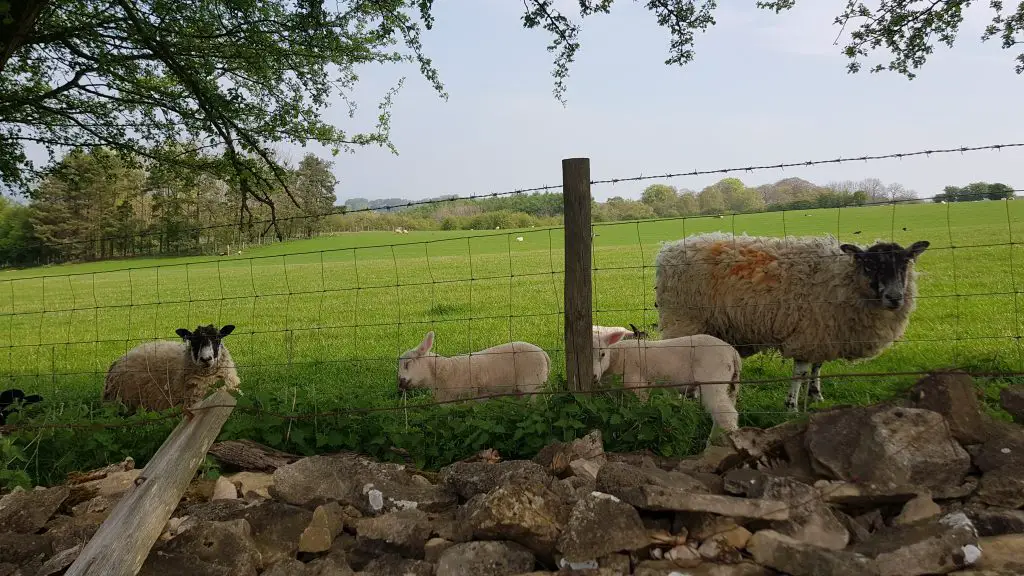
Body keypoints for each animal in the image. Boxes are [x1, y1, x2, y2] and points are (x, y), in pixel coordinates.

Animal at [593, 325, 745, 432]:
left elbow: (640, 409)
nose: (594, 376)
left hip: (713, 379)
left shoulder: (637, 385)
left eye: (603, 354)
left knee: (726, 415)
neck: (616, 357)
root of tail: (733, 352)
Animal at [655, 230, 929, 409]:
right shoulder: (808, 332)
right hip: (684, 319)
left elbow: (817, 367)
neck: (843, 279)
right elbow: (800, 372)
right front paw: (792, 405)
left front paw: (816, 396)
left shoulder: (823, 332)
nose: (895, 298)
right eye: (870, 265)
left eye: (905, 264)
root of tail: (669, 249)